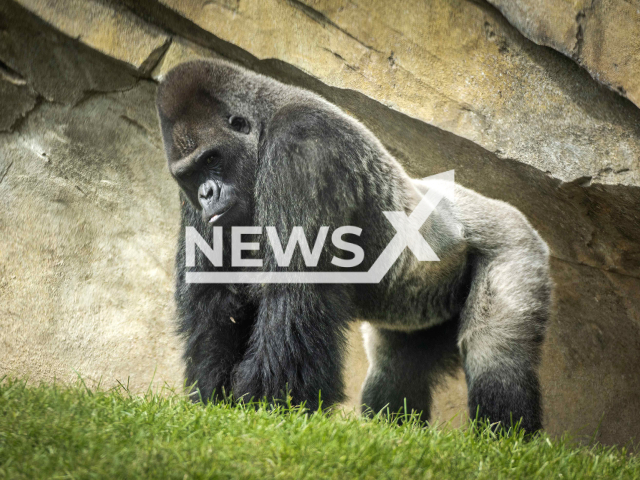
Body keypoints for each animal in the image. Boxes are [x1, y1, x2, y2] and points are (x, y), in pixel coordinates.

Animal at [155, 59, 552, 432]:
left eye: (212, 158)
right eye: (189, 175)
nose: (207, 194)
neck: (266, 120)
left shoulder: (303, 148)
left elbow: (294, 294)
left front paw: (269, 408)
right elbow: (216, 303)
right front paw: (212, 399)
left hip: (515, 245)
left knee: (496, 354)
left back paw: (504, 437)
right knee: (395, 369)